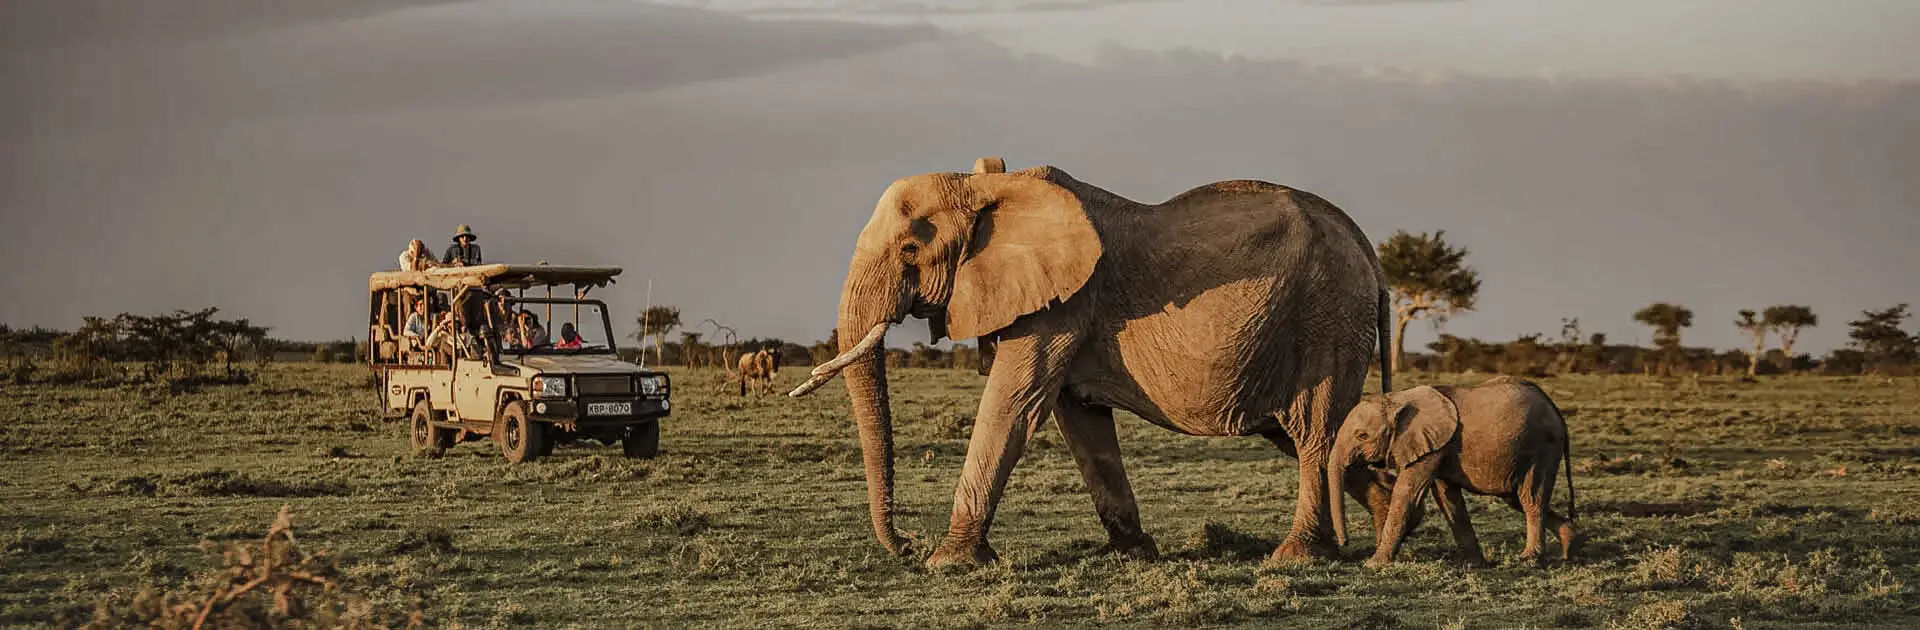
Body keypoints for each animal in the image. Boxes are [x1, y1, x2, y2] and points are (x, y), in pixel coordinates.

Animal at [789, 156, 1393, 568]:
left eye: (910, 250)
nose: (908, 545)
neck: (989, 184)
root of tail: (1369, 252)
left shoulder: (1063, 303)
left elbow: (1014, 405)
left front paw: (948, 563)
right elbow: (1080, 420)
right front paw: (1133, 553)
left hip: (1327, 320)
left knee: (1313, 433)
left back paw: (1298, 555)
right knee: (1318, 437)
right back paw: (1392, 533)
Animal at [1328, 376, 1577, 568]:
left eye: (1362, 436)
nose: (1344, 543)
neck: (1397, 398)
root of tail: (1556, 411)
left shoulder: (1429, 446)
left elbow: (1407, 492)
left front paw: (1372, 564)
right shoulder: (1437, 446)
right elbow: (1447, 498)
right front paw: (1475, 564)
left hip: (1542, 446)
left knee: (1530, 498)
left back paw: (1529, 559)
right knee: (1516, 498)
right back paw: (1568, 548)